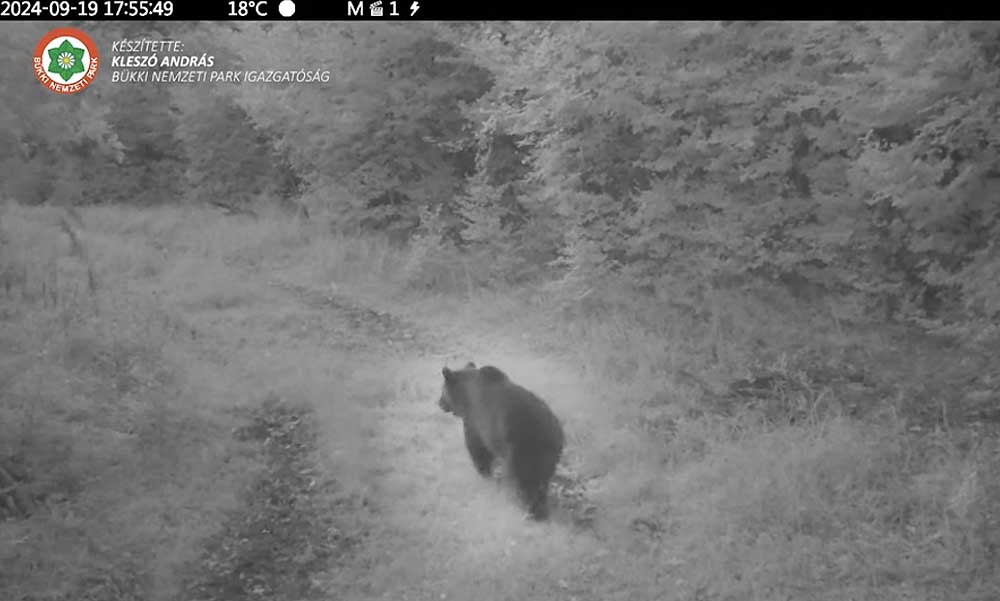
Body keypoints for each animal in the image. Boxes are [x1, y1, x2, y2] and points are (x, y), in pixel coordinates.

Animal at [436, 360, 564, 520]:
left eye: (442, 390)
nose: (439, 403)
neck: (465, 395)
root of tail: (550, 431)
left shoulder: (476, 421)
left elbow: (477, 448)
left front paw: (484, 473)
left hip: (521, 448)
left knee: (525, 479)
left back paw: (528, 509)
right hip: (549, 455)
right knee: (542, 480)